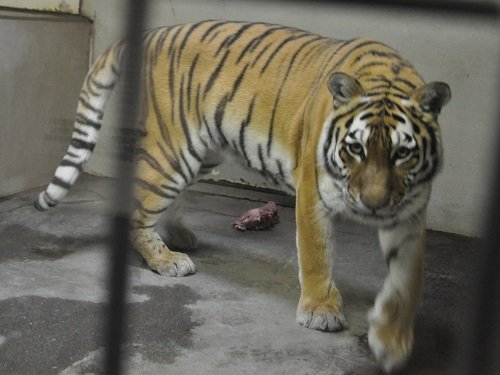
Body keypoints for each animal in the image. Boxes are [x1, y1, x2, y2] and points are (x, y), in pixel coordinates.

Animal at [33, 19, 452, 370]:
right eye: (356, 149)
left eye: (402, 153)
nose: (374, 205)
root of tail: (156, 32)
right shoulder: (313, 193)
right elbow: (317, 255)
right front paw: (320, 310)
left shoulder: (410, 212)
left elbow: (408, 279)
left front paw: (393, 340)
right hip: (174, 151)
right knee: (140, 203)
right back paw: (166, 259)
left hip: (204, 153)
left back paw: (179, 236)